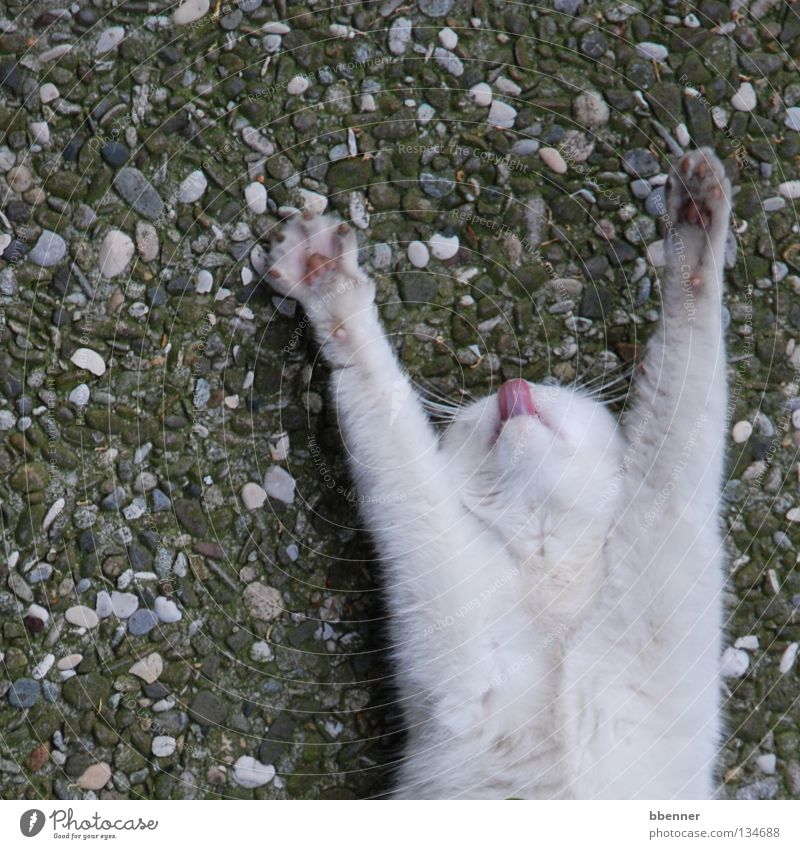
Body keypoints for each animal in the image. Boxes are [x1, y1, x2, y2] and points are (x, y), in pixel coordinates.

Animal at [268, 147, 732, 800]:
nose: (513, 384)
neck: (550, 587)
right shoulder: (447, 605)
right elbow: (386, 415)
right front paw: (325, 277)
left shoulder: (669, 544)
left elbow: (691, 369)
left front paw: (697, 220)